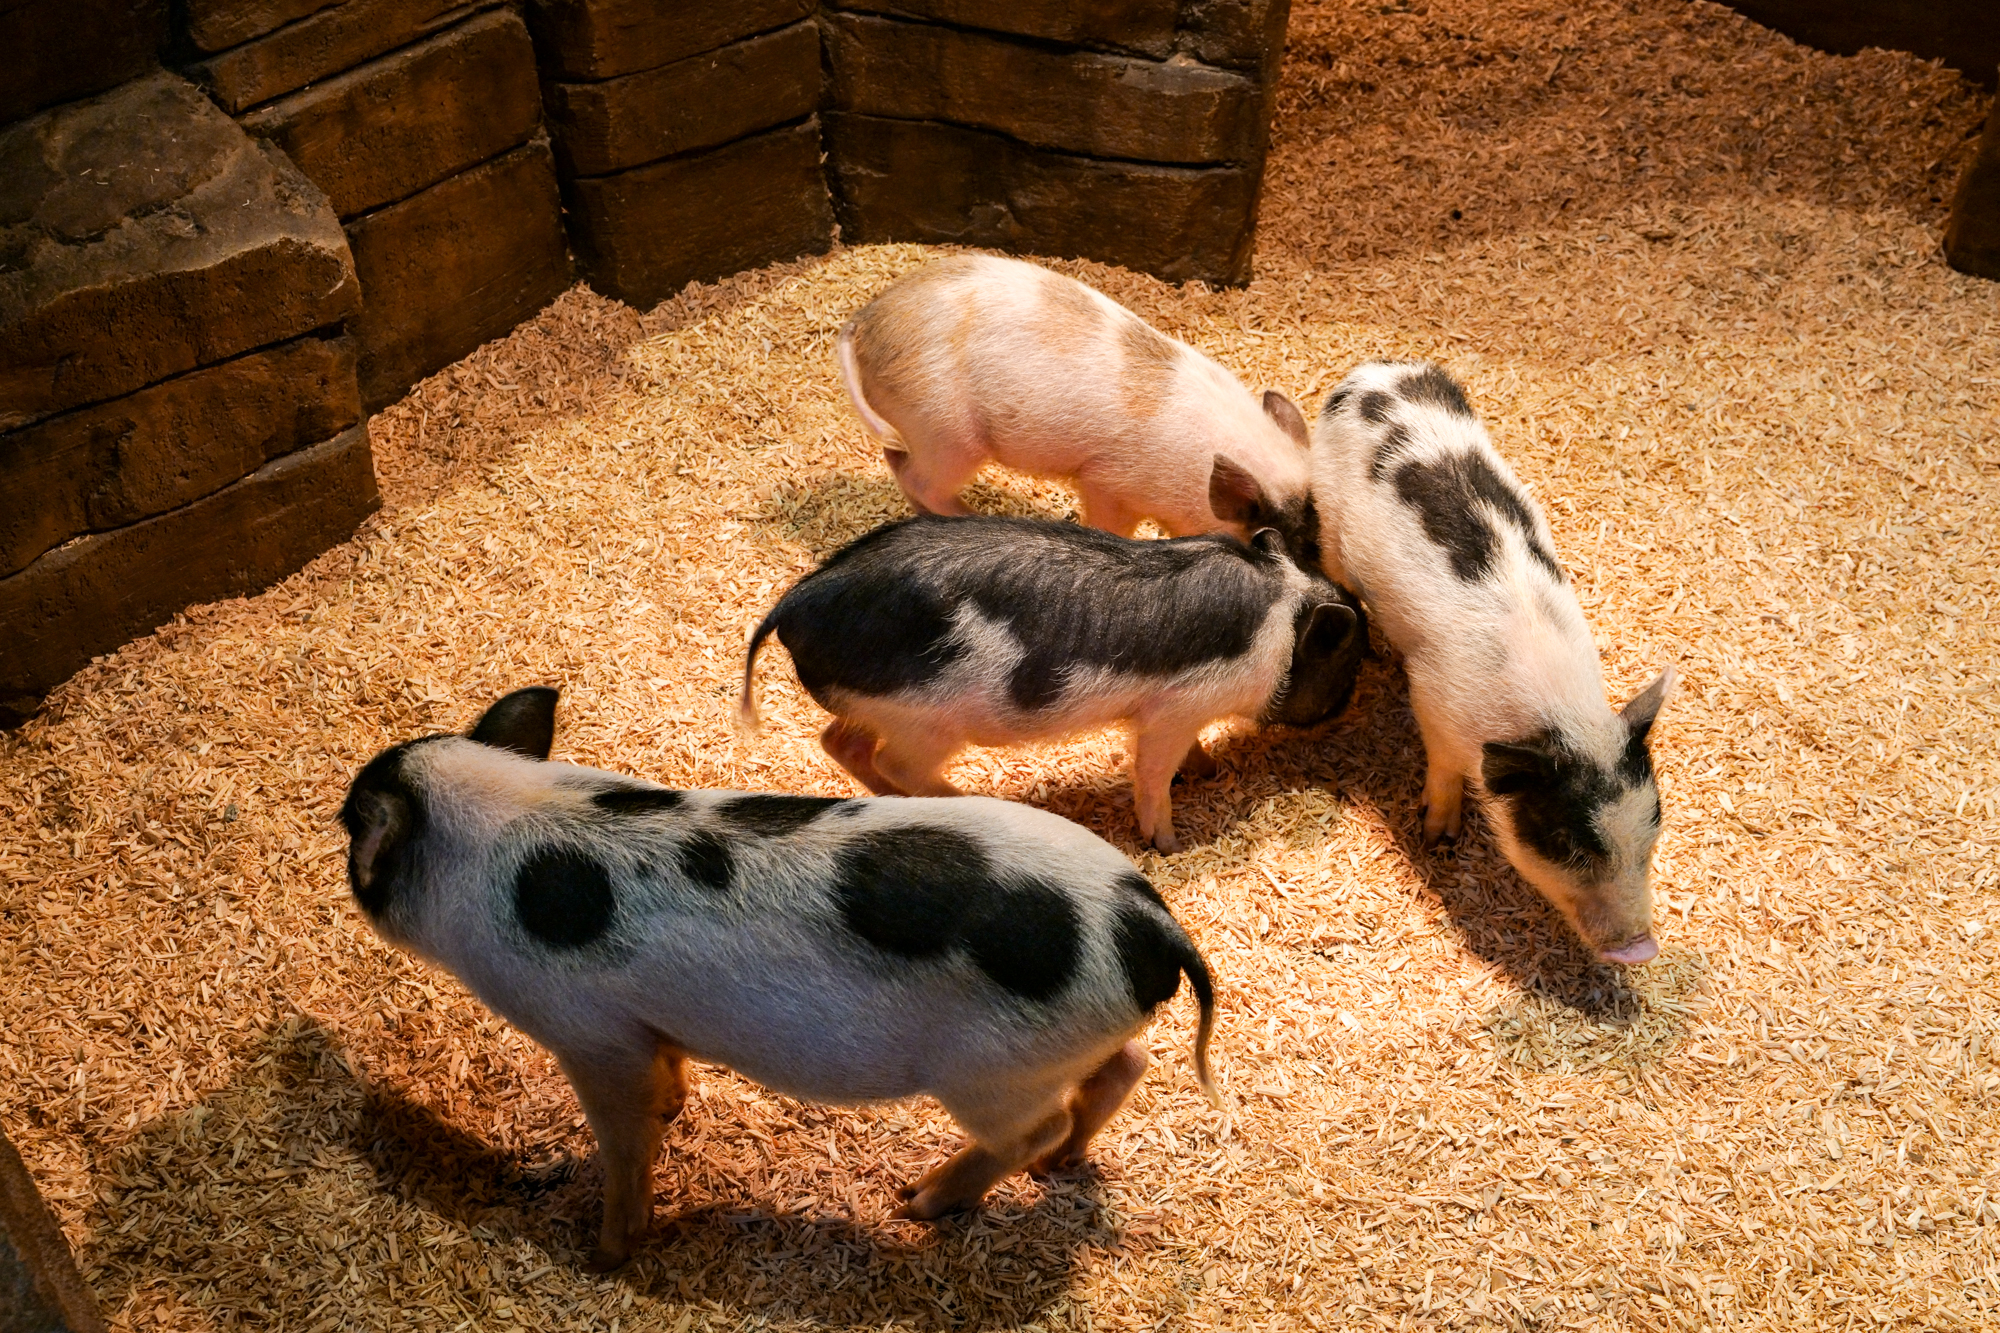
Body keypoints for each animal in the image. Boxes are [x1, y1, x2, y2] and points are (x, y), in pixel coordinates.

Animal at [340, 687, 1222, 1270]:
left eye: (351, 827)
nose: (338, 828)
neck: (490, 834)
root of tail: (1148, 921)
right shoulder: (646, 1026)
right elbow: (667, 1072)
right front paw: (676, 1105)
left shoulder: (590, 1034)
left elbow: (624, 1136)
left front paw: (607, 1253)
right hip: (1070, 1041)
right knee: (1125, 1068)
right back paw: (1058, 1167)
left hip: (995, 1071)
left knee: (1032, 1125)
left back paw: (918, 1201)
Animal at [740, 514, 1366, 854]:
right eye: (1349, 664)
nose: (1344, 708)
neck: (1282, 612)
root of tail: (801, 599)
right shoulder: (1173, 710)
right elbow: (1152, 774)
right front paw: (1171, 844)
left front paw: (1209, 771)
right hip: (926, 721)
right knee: (896, 763)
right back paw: (975, 803)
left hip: (872, 708)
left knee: (838, 742)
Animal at [836, 254, 1320, 560]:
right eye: (1296, 546)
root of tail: (864, 321)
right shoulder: (1109, 484)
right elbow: (1109, 524)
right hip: (946, 435)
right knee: (919, 479)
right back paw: (974, 517)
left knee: (897, 461)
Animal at [1309, 361, 1673, 965]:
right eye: (1566, 843)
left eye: (1653, 831)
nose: (1641, 948)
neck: (1558, 716)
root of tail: (1374, 373)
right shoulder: (1433, 699)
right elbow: (1441, 768)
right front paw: (1438, 838)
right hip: (1329, 520)